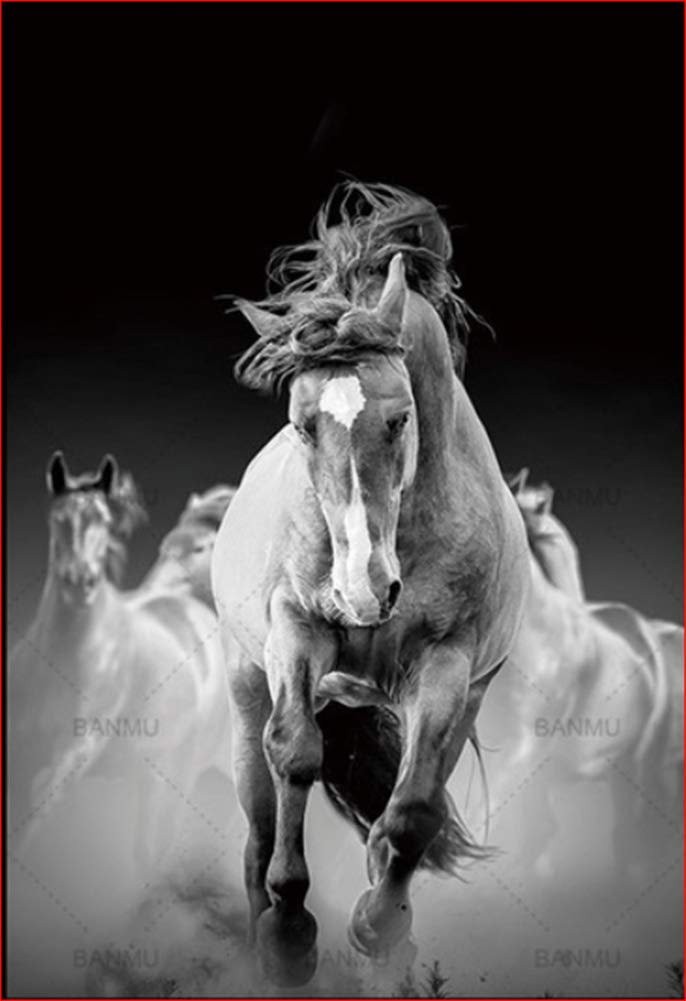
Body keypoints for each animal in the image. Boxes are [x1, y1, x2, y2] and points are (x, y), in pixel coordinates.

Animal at [212, 182, 530, 985]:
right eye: (301, 425)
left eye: (400, 417)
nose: (364, 590)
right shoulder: (295, 634)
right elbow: (295, 752)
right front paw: (291, 930)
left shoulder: (447, 667)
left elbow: (412, 812)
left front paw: (378, 926)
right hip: (244, 686)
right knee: (258, 824)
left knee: (405, 810)